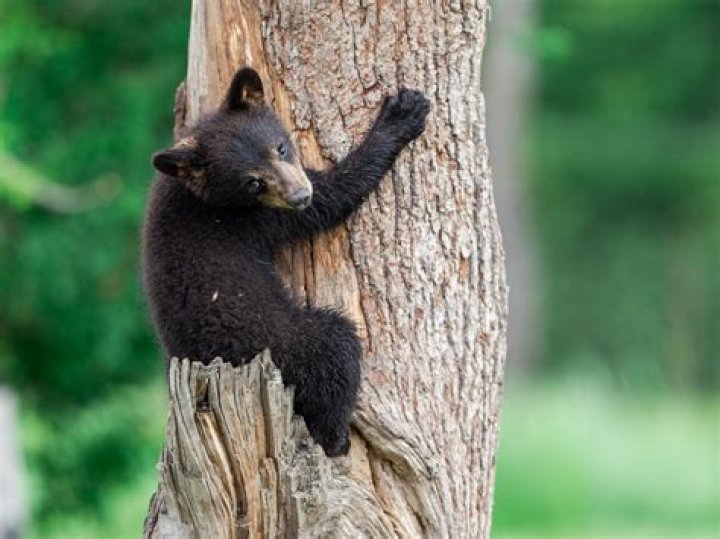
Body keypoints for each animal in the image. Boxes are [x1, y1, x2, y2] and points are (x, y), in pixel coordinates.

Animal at [142, 67, 430, 456]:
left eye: (280, 147)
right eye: (252, 183)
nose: (300, 195)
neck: (196, 193)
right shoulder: (258, 216)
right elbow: (335, 196)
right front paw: (402, 115)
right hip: (292, 345)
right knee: (336, 353)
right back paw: (336, 438)